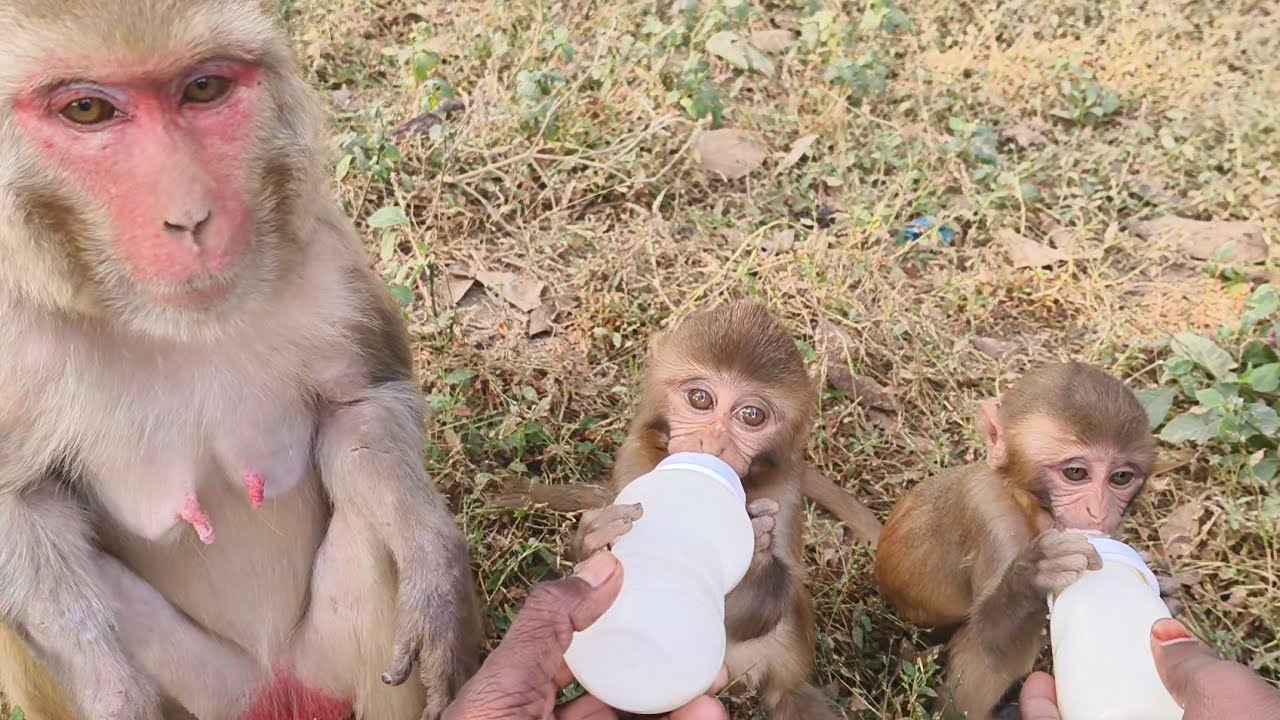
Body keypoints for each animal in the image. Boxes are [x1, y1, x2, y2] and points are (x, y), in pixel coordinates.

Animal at [0, 2, 480, 719]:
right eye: (86, 109)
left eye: (203, 89)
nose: (190, 218)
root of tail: (273, 686)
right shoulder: (10, 338)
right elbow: (19, 500)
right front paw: (110, 688)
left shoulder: (320, 247)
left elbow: (359, 403)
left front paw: (435, 563)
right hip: (215, 691)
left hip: (321, 666)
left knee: (371, 532)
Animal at [498, 301, 858, 719]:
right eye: (700, 399)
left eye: (751, 415)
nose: (712, 445)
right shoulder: (636, 457)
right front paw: (597, 541)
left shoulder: (785, 489)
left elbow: (752, 614)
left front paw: (755, 553)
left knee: (787, 687)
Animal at [874, 362, 1159, 720]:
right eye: (1076, 473)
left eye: (1121, 477)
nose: (1099, 511)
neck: (1024, 504)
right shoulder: (993, 522)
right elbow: (990, 644)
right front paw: (1035, 573)